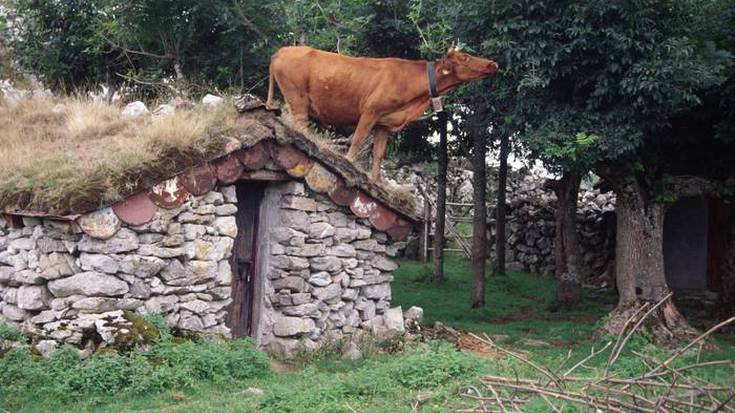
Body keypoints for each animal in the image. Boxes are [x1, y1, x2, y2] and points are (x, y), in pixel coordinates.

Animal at [268, 45, 498, 182]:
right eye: (465, 58)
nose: (492, 63)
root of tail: (282, 50)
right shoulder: (370, 111)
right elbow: (357, 140)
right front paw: (348, 165)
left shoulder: (384, 124)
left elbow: (379, 154)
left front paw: (376, 181)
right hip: (297, 98)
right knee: (300, 126)